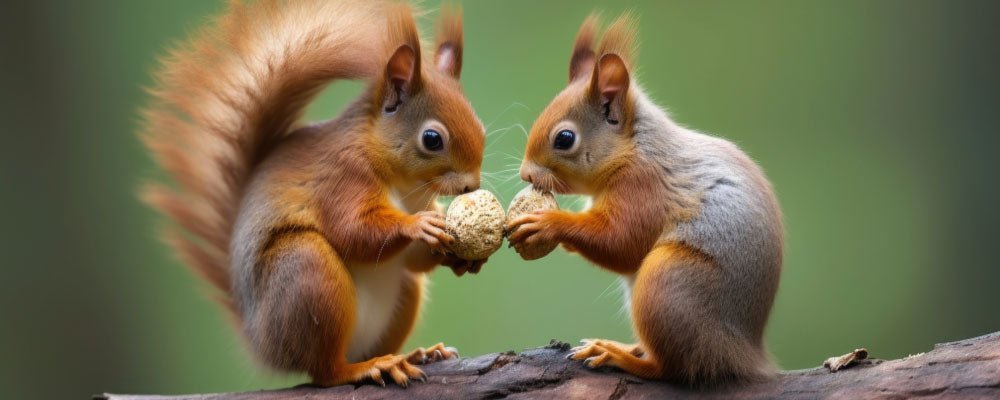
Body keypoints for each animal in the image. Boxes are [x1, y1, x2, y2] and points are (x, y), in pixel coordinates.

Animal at [141, 1, 488, 387]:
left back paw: (413, 355)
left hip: (399, 294)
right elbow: (353, 231)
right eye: (432, 139)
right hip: (308, 273)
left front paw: (462, 257)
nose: (471, 186)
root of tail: (259, 341)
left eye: (480, 127)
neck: (407, 186)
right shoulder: (341, 179)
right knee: (325, 370)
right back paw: (366, 367)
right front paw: (417, 225)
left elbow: (412, 259)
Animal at [507, 14, 783, 386]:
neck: (632, 150)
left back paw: (620, 357)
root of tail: (744, 354)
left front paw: (548, 223)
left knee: (672, 367)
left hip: (668, 284)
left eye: (564, 138)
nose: (525, 174)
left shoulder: (644, 188)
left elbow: (622, 241)